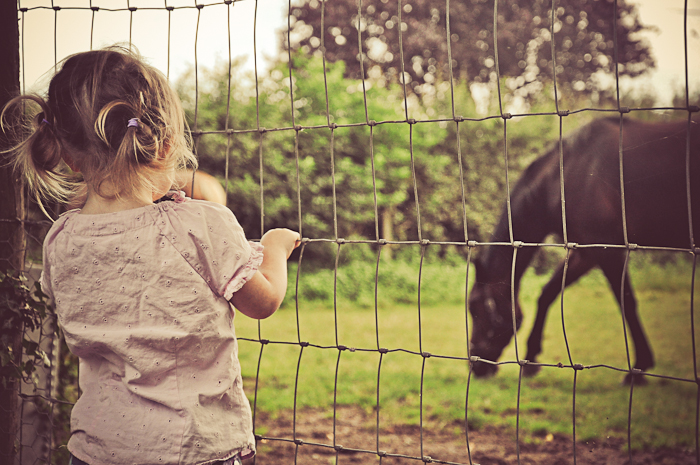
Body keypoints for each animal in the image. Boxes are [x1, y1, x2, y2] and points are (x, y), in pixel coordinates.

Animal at [467, 116, 699, 384]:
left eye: (477, 309)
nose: (475, 366)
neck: (565, 176)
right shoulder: (584, 252)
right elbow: (547, 294)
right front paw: (531, 360)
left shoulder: (606, 249)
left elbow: (627, 303)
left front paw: (639, 368)